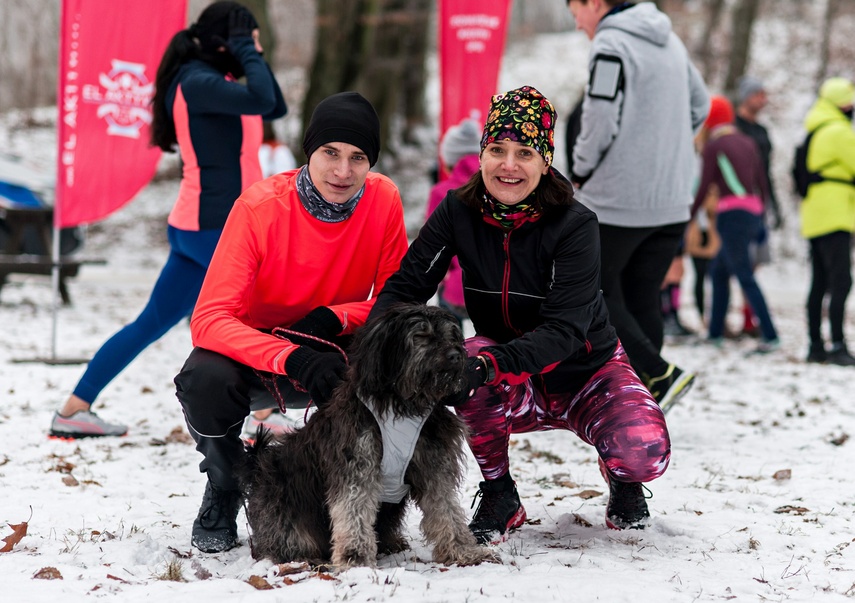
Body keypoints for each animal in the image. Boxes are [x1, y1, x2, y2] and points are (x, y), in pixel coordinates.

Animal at [237, 304, 498, 568]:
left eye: (451, 335)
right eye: (420, 336)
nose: (455, 355)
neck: (404, 404)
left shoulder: (433, 461)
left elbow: (446, 508)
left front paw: (463, 550)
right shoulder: (356, 461)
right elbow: (353, 509)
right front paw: (356, 558)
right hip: (282, 504)